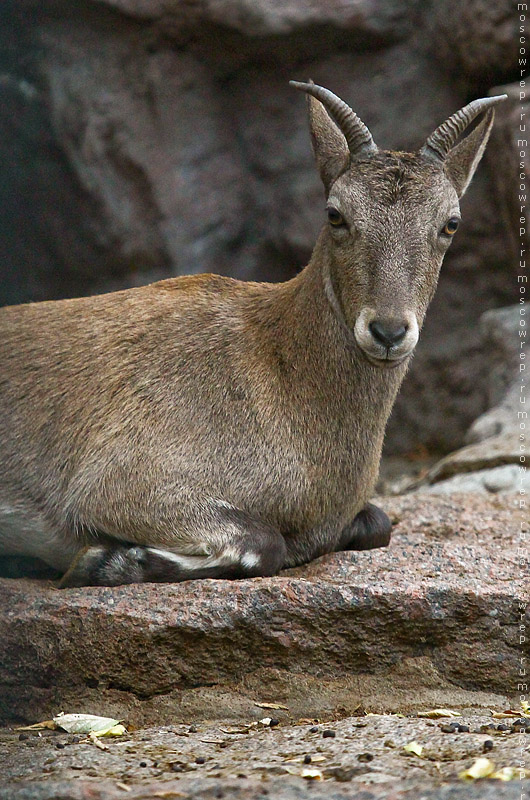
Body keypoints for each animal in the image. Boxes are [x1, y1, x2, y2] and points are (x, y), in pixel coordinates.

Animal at [0, 83, 504, 588]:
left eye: (450, 223)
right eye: (335, 214)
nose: (388, 331)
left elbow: (376, 523)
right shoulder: (120, 483)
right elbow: (264, 543)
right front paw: (101, 561)